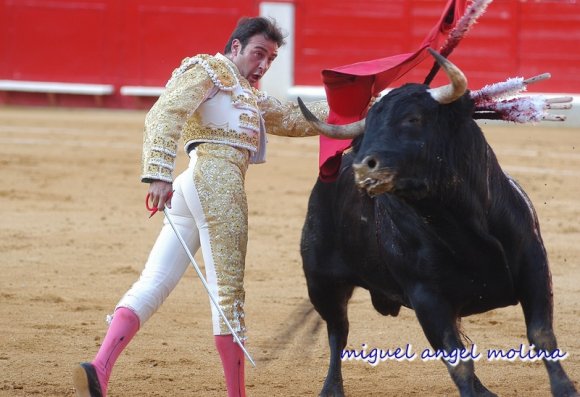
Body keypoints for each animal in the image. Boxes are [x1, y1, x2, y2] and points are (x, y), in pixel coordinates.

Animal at [300, 51, 576, 396]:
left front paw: (565, 389)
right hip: (321, 282)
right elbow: (458, 363)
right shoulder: (427, 298)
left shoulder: (534, 265)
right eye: (364, 135)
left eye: (413, 119)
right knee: (338, 332)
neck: (458, 221)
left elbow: (541, 334)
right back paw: (331, 389)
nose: (364, 168)